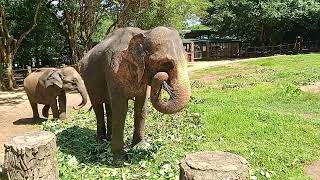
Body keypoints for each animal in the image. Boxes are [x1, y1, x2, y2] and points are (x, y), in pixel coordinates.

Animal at [79, 26, 191, 163]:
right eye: (166, 63)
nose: (163, 77)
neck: (143, 33)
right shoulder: (114, 71)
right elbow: (121, 110)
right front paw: (119, 158)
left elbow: (141, 107)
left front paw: (139, 147)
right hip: (87, 82)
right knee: (98, 108)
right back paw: (101, 141)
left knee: (109, 108)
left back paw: (108, 139)